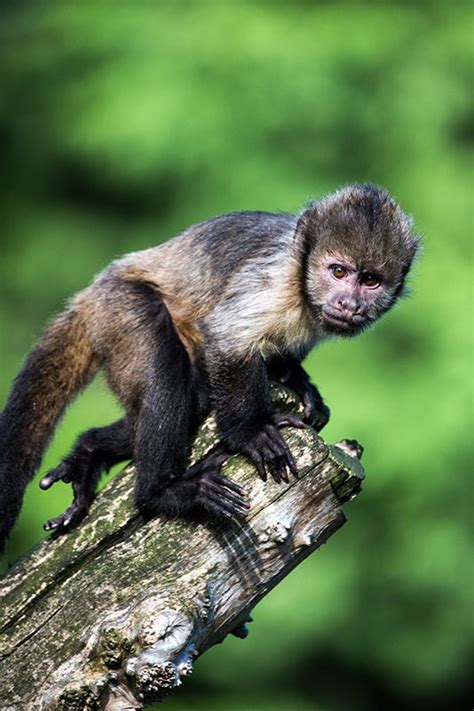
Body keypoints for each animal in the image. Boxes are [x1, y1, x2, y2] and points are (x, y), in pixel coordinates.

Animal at [0, 182, 418, 552]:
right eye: (338, 272)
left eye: (370, 280)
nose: (348, 303)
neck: (302, 285)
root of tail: (90, 295)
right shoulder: (274, 279)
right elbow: (227, 340)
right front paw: (251, 433)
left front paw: (299, 384)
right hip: (118, 309)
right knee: (171, 378)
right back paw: (160, 492)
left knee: (186, 401)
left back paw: (89, 452)